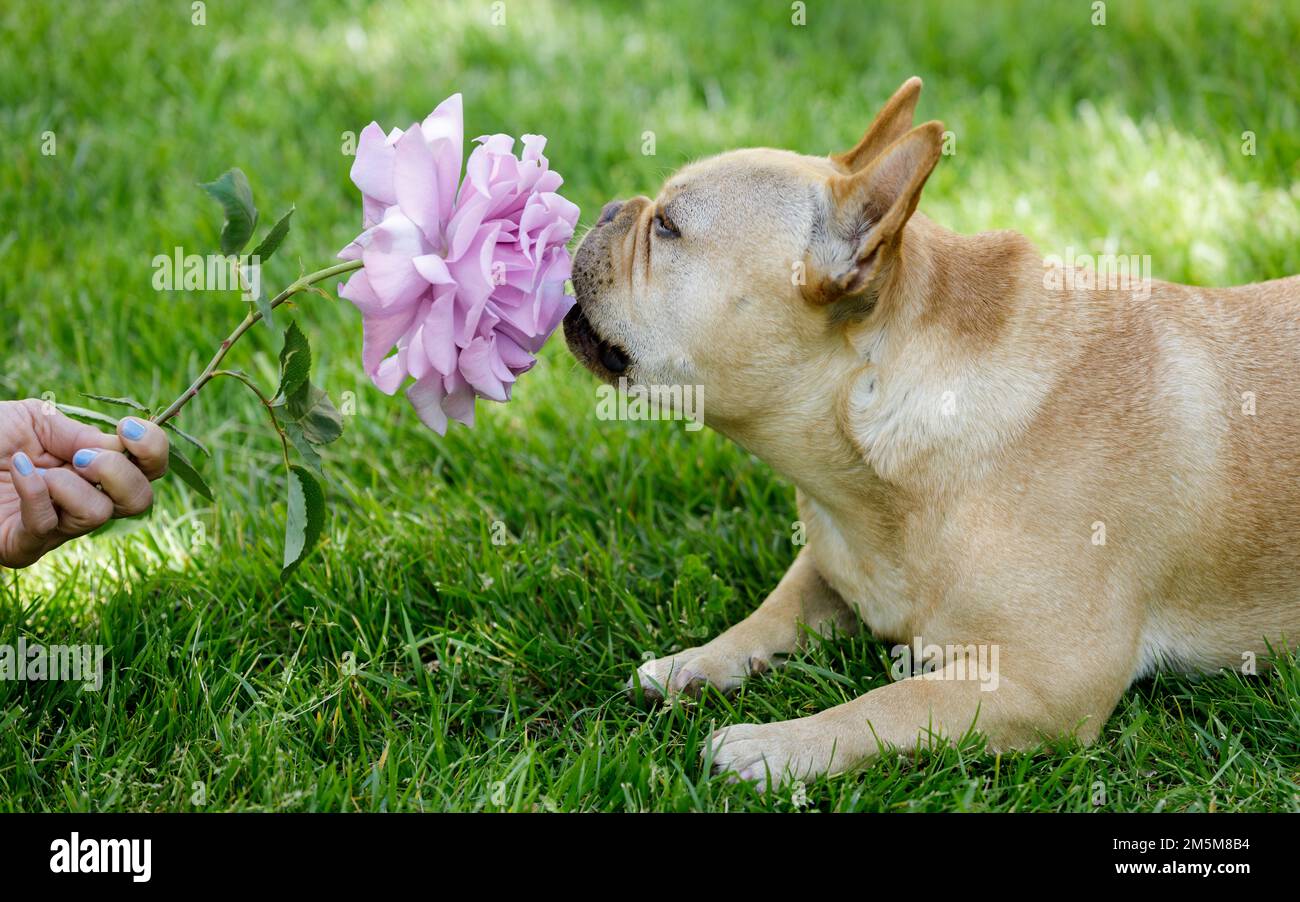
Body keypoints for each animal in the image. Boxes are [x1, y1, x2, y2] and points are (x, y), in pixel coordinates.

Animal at [566, 76, 1300, 785]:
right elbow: (772, 613)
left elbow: (894, 700)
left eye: (667, 228)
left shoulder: (1049, 683)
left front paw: (773, 746)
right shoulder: (832, 565)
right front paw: (694, 662)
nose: (607, 210)